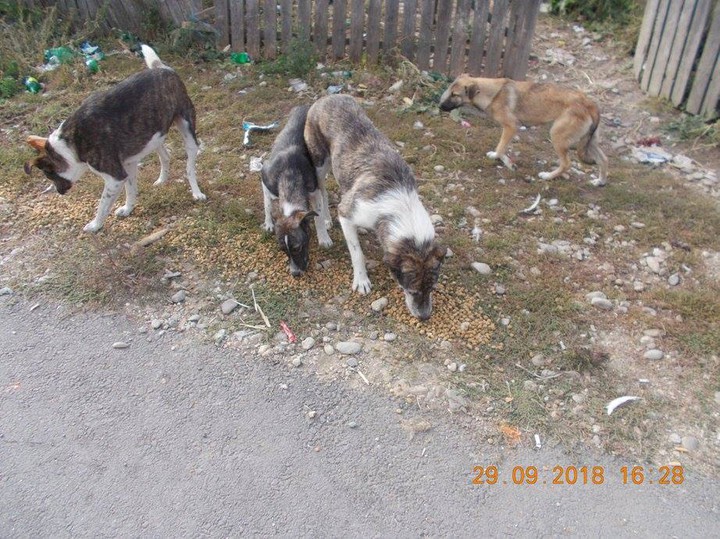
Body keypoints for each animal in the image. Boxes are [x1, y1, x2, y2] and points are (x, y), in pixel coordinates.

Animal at [24, 44, 206, 233]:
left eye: (49, 176)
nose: (59, 192)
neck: (71, 143)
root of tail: (163, 68)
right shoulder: (128, 165)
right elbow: (131, 190)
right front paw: (128, 209)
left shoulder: (115, 178)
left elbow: (103, 205)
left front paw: (95, 225)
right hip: (152, 136)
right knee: (165, 155)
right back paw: (162, 179)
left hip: (187, 131)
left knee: (189, 167)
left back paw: (196, 192)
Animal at [261, 104, 333, 276]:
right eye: (283, 250)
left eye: (297, 248)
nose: (295, 274)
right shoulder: (265, 177)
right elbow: (267, 204)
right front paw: (268, 223)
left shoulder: (314, 192)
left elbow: (318, 216)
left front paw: (324, 238)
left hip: (322, 167)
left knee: (325, 194)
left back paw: (328, 219)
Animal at [304, 95, 447, 320]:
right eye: (412, 291)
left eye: (432, 288)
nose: (425, 317)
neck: (401, 206)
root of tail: (328, 97)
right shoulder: (347, 213)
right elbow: (357, 253)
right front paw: (361, 280)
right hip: (318, 163)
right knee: (320, 194)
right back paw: (324, 229)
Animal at [439, 74, 608, 186]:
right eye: (449, 91)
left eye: (455, 94)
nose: (439, 106)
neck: (493, 93)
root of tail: (589, 104)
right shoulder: (509, 130)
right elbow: (503, 147)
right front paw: (507, 161)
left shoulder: (511, 126)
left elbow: (500, 147)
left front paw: (497, 157)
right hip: (590, 142)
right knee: (603, 159)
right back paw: (600, 181)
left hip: (557, 136)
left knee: (567, 164)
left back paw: (548, 176)